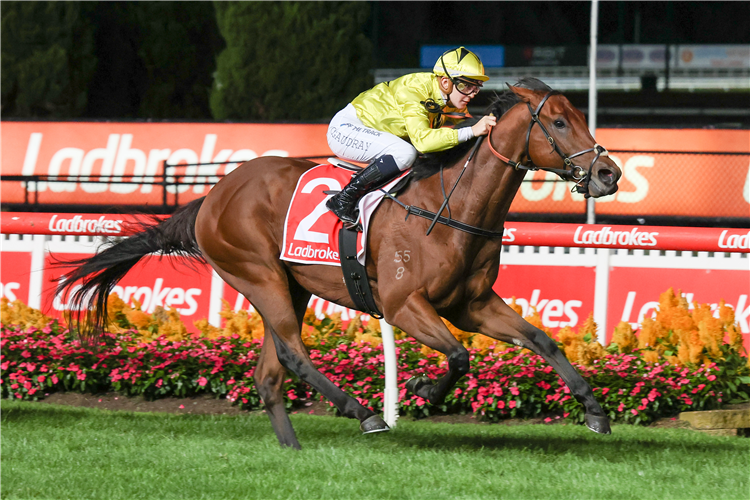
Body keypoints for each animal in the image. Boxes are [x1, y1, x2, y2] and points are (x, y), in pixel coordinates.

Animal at [58, 79, 624, 450]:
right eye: (558, 122)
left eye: (580, 117)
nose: (609, 173)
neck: (451, 208)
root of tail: (213, 197)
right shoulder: (402, 304)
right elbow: (460, 357)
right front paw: (420, 390)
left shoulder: (473, 304)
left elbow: (541, 340)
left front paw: (594, 410)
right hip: (258, 275)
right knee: (294, 355)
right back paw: (364, 413)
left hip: (292, 286)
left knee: (270, 372)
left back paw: (292, 448)